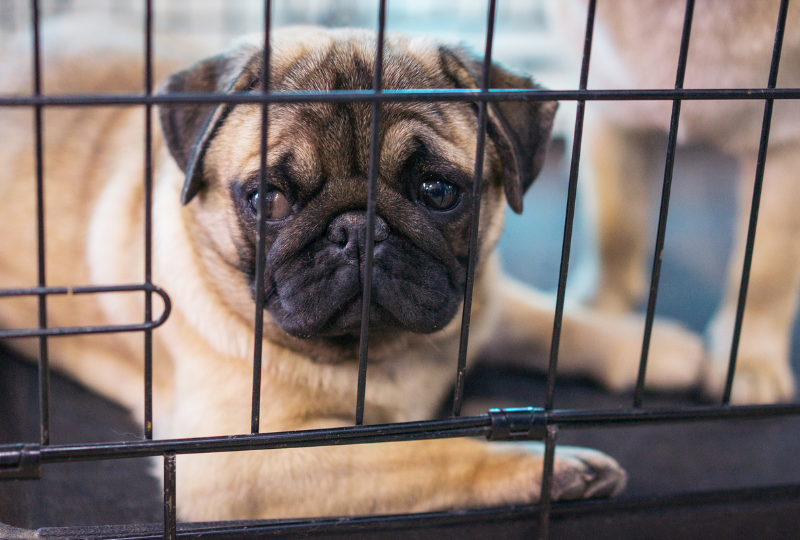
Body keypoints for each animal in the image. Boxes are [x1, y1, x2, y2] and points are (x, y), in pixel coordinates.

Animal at [0, 19, 708, 520]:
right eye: (268, 198)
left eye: (437, 191)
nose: (358, 229)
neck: (377, 354)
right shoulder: (238, 465)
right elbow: (424, 453)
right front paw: (548, 466)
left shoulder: (481, 303)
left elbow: (555, 319)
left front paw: (650, 348)